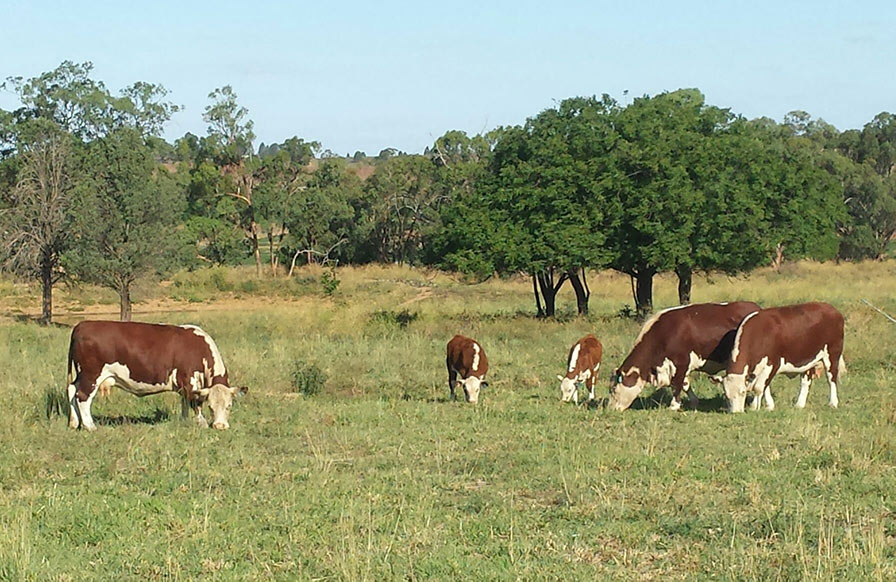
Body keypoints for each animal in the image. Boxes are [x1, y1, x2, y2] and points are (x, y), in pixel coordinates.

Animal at [65, 322, 248, 432]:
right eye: (211, 406)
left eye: (229, 406)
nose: (220, 426)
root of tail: (82, 325)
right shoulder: (188, 379)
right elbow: (194, 403)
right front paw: (201, 423)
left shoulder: (184, 384)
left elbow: (184, 402)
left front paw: (184, 421)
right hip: (91, 375)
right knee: (82, 397)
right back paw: (90, 426)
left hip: (81, 375)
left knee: (72, 390)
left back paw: (74, 423)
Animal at [604, 304, 760, 412]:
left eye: (613, 389)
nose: (610, 409)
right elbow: (685, 384)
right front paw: (694, 401)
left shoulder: (681, 363)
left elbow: (677, 384)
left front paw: (674, 405)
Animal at [720, 304, 848, 412]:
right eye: (726, 395)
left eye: (743, 392)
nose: (736, 412)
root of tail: (831, 308)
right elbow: (765, 386)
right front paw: (769, 406)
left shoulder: (773, 363)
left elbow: (759, 387)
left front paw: (754, 407)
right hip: (809, 359)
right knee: (806, 381)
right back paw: (799, 404)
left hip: (832, 355)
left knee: (831, 378)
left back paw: (833, 403)